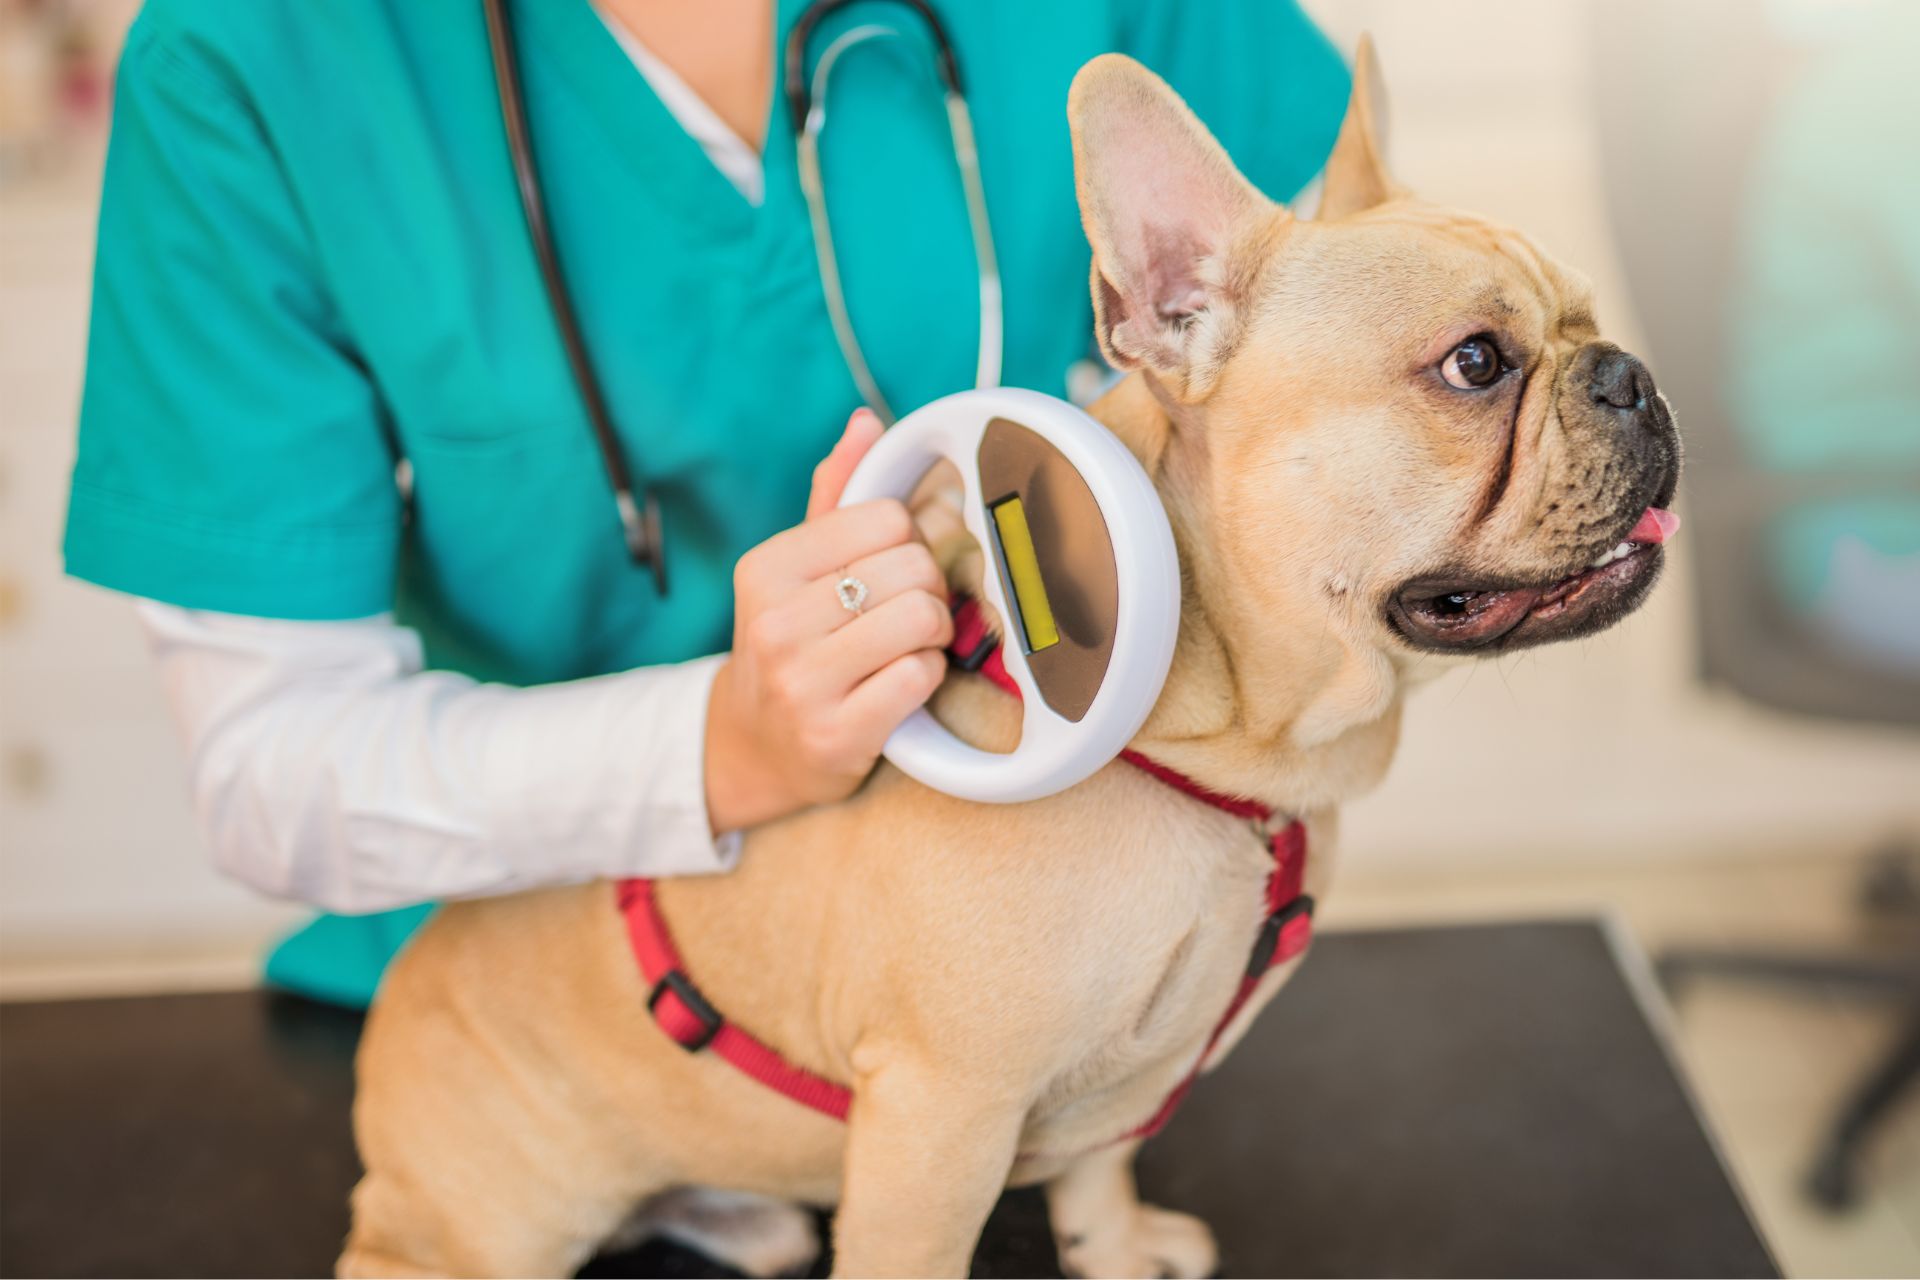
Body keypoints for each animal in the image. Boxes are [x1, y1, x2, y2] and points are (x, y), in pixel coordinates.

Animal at [341, 42, 1681, 1280]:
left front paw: (1116, 1247)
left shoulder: (1112, 1091)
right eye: (1476, 363)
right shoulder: (941, 1116)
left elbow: (1097, 1167)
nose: (1633, 373)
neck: (1223, 754)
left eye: (1588, 319)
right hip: (482, 1214)